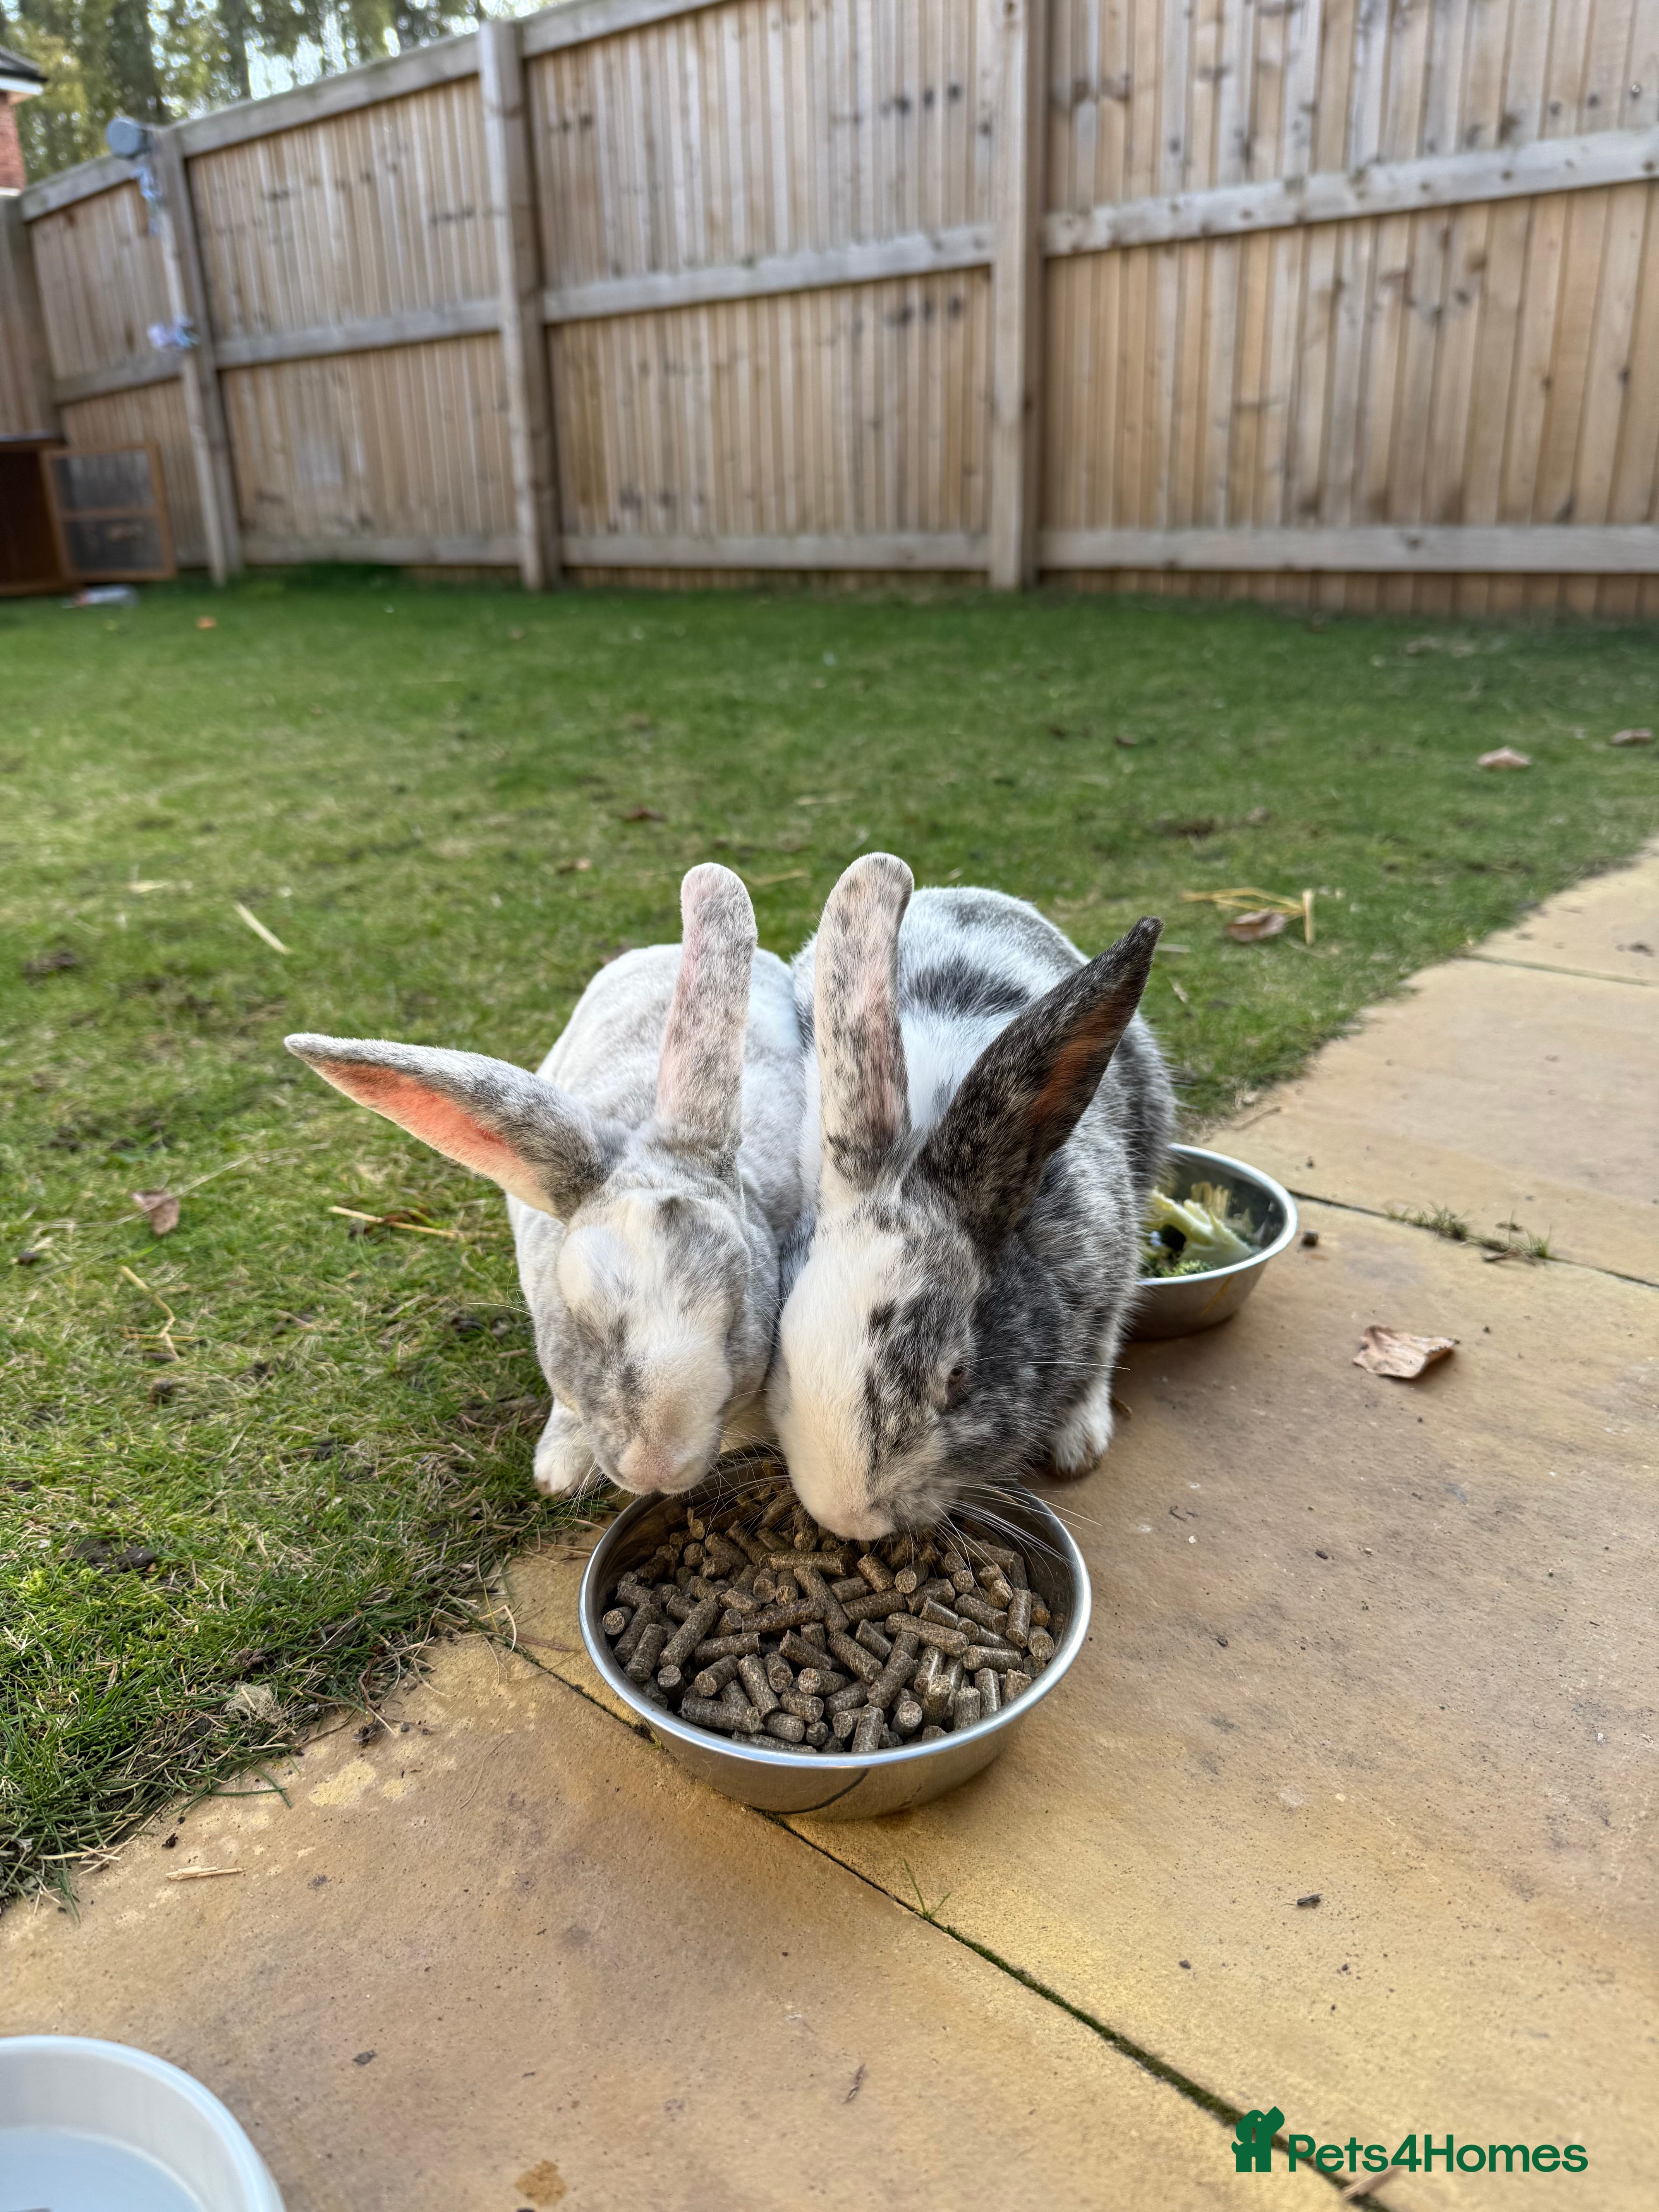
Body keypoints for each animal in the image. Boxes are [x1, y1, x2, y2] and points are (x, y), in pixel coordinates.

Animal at [768, 852, 1172, 1542]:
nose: (851, 1517)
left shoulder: (1110, 1265)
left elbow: (1101, 1351)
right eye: (787, 1362)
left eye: (958, 1378)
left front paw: (1080, 1445)